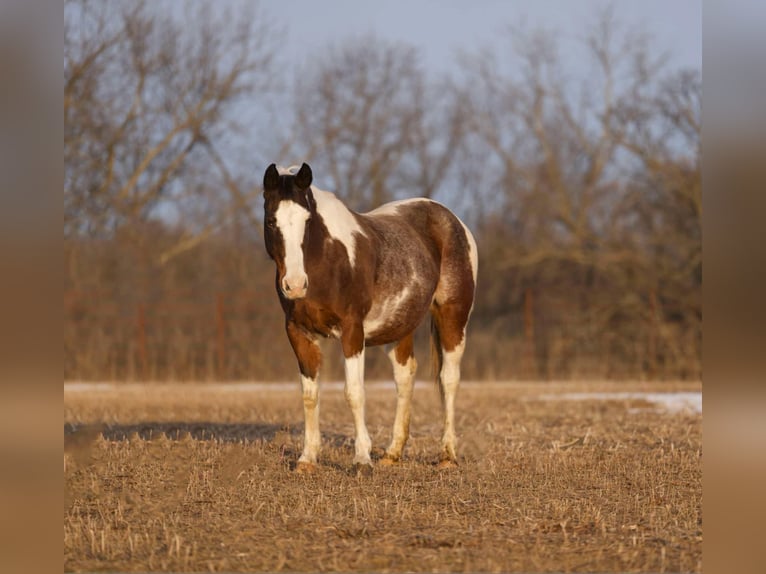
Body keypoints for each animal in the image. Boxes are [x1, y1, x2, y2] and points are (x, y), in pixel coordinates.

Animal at [264, 163, 480, 476]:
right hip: (399, 326)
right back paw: (392, 453)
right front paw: (307, 459)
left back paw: (448, 455)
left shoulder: (352, 332)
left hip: (453, 317)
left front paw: (361, 460)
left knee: (448, 379)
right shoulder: (298, 333)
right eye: (271, 221)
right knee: (405, 376)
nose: (294, 285)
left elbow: (354, 392)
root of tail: (453, 220)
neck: (328, 261)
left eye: (307, 220)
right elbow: (309, 395)